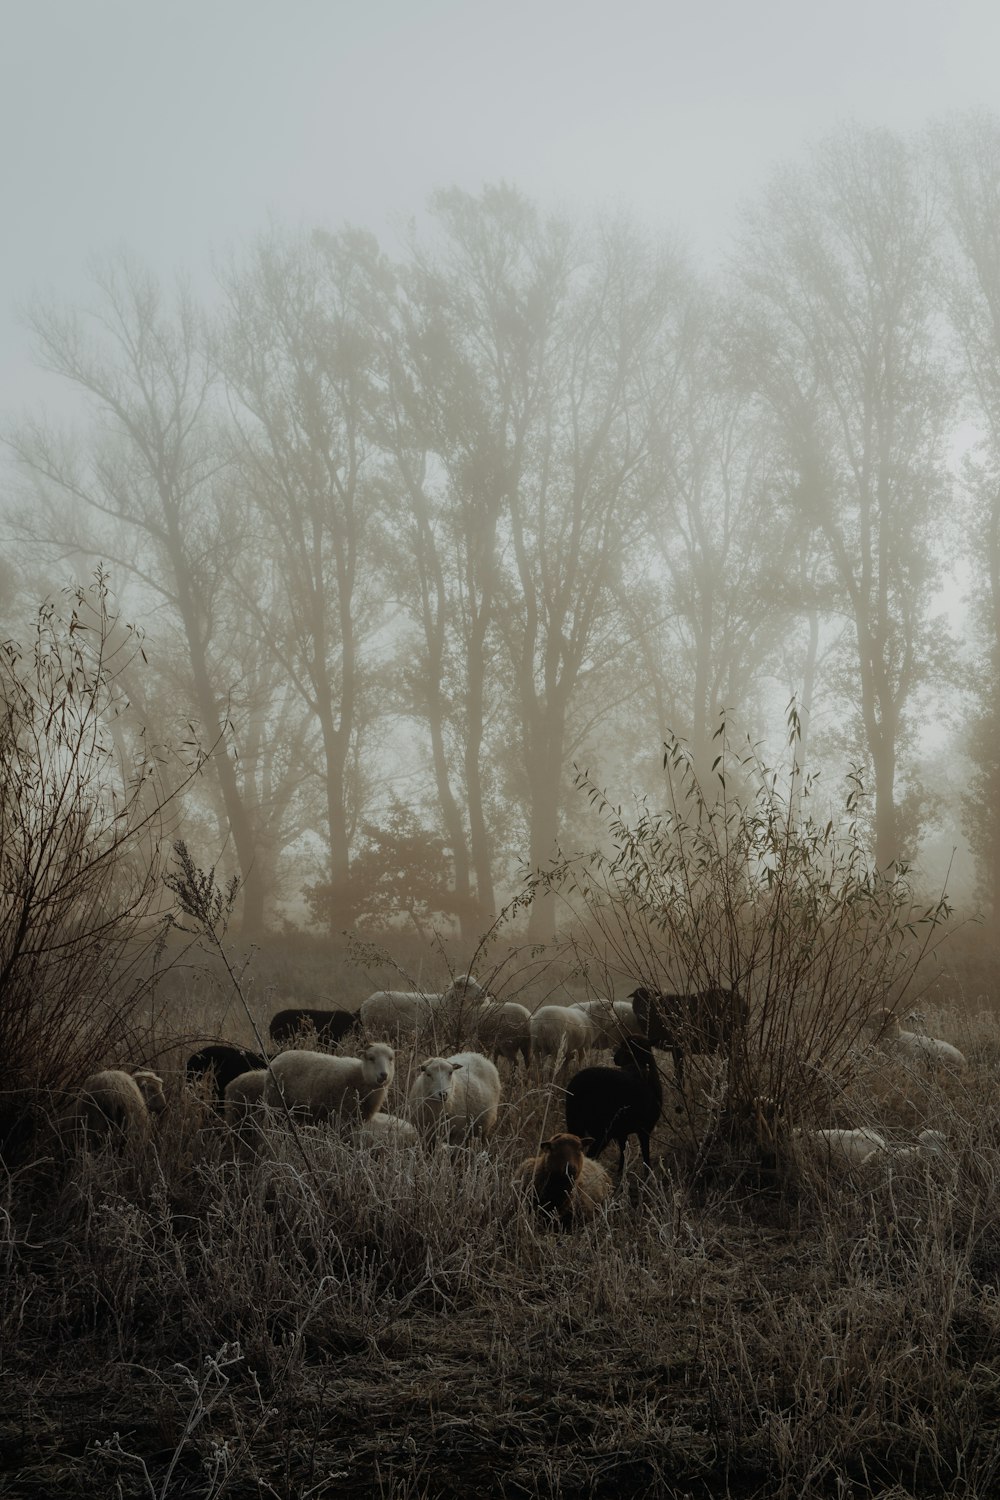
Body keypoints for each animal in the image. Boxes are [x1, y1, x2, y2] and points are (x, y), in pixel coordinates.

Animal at [263, 1044, 395, 1128]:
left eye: (391, 1059)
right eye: (371, 1058)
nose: (384, 1075)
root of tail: (275, 1060)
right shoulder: (343, 1116)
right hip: (275, 1103)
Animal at [563, 1038, 665, 1176]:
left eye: (626, 1047)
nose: (615, 1058)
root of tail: (576, 1086)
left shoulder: (622, 1132)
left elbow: (623, 1153)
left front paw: (621, 1173)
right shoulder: (645, 1128)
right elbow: (645, 1154)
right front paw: (647, 1175)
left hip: (575, 1124)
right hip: (602, 1131)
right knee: (590, 1155)